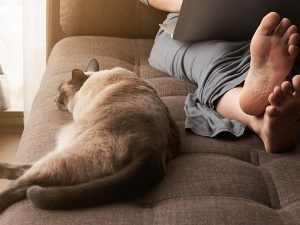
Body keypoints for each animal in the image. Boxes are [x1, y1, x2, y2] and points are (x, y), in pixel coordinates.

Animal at [0, 59, 179, 212]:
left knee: (23, 184)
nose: (53, 100)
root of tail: (151, 152)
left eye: (60, 92)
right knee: (28, 172)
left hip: (71, 149)